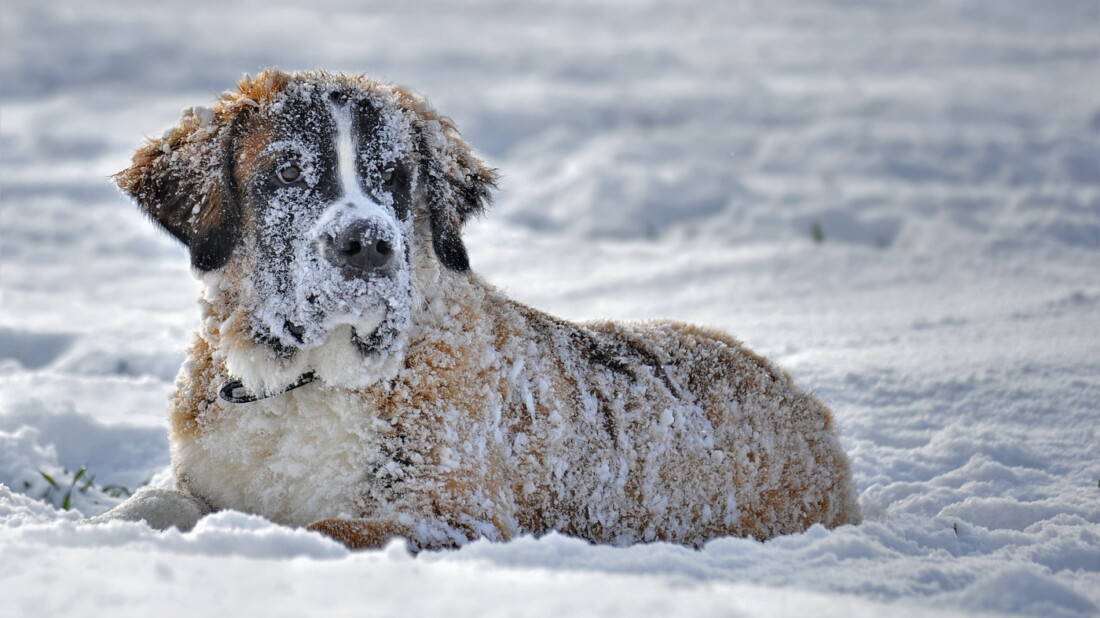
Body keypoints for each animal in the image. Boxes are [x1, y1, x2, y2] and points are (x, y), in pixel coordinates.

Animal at [96, 69, 858, 545]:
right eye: (286, 172)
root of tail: (804, 402)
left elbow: (330, 527)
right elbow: (153, 501)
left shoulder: (456, 518)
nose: (367, 245)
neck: (303, 380)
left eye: (396, 177)